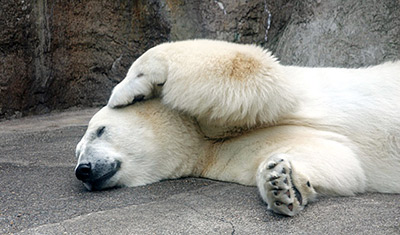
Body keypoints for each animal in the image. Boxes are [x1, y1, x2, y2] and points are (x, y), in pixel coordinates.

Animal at [76, 39, 400, 217]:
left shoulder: (286, 89)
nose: (83, 170)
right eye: (77, 152)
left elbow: (252, 71)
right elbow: (336, 158)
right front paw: (281, 184)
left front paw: (124, 91)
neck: (203, 139)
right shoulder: (225, 152)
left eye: (100, 130)